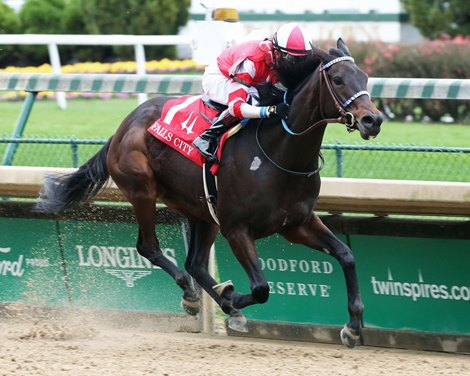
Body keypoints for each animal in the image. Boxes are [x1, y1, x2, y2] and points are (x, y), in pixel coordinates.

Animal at [36, 38, 382, 346]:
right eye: (338, 80)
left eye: (365, 77)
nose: (373, 119)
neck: (279, 153)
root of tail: (122, 127)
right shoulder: (237, 228)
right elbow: (261, 288)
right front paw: (232, 297)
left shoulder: (297, 224)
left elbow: (346, 255)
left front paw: (353, 327)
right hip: (143, 191)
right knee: (149, 247)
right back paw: (194, 295)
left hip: (201, 210)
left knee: (196, 263)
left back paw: (213, 301)